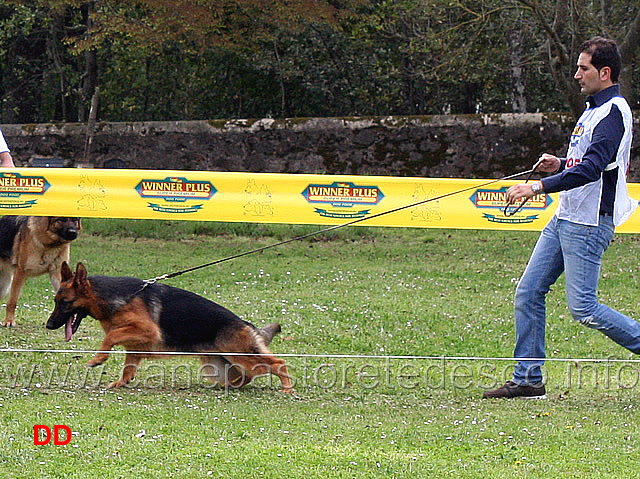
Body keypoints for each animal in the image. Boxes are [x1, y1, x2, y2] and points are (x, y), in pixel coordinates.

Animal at [46, 262, 294, 394]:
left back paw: (287, 388)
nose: (48, 325)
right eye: (56, 301)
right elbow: (128, 368)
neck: (110, 298)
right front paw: (120, 383)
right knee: (244, 377)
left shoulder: (146, 330)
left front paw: (99, 359)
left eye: (64, 303)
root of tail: (245, 324)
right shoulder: (135, 346)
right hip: (217, 365)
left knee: (277, 363)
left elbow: (112, 336)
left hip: (240, 356)